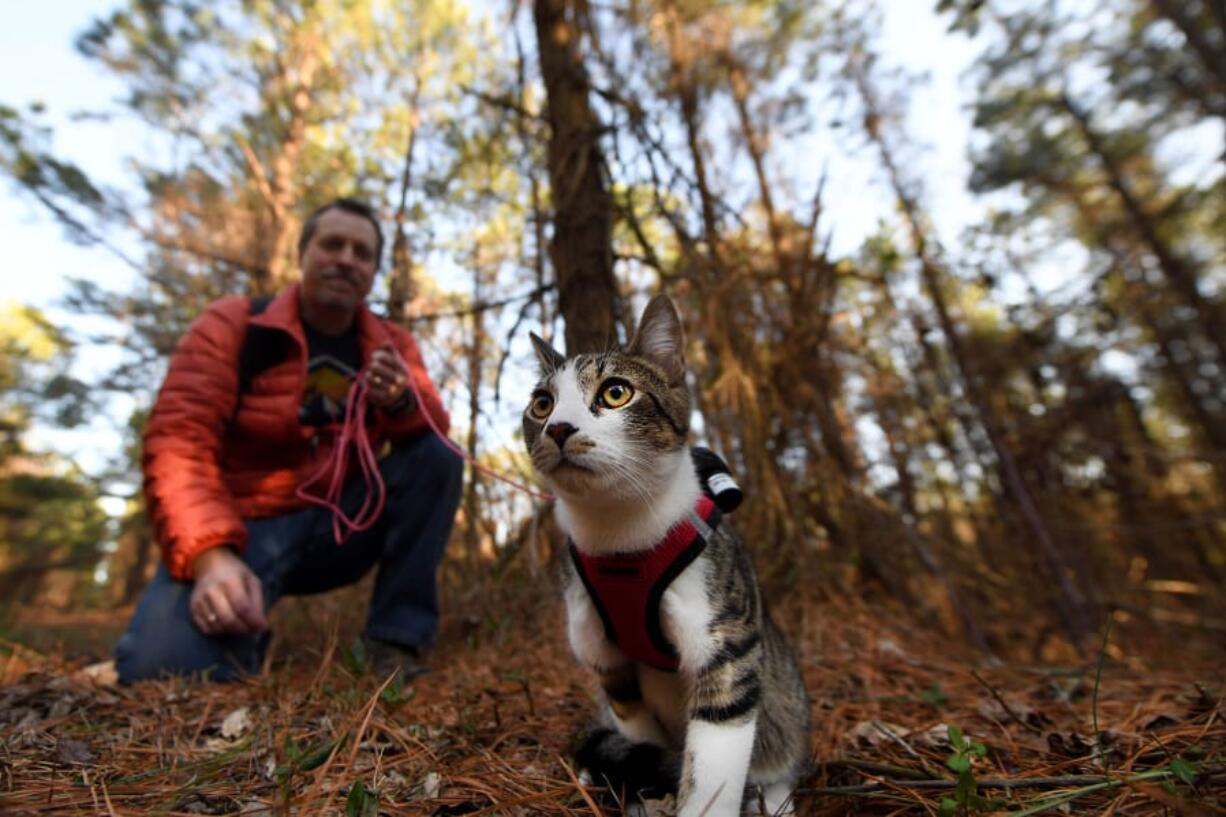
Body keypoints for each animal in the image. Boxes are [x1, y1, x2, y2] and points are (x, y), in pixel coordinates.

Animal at [522, 294, 809, 814]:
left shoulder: (726, 644)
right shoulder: (608, 663)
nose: (558, 428)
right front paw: (649, 788)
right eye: (542, 403)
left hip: (787, 710)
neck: (620, 536)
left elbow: (715, 764)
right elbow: (637, 728)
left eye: (616, 393)